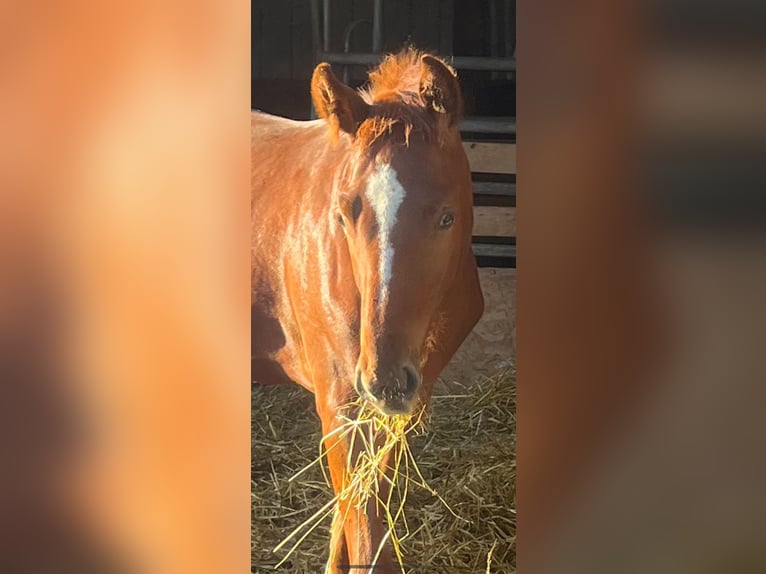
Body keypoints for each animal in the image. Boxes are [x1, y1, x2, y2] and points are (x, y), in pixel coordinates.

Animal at [254, 50, 486, 574]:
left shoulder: (404, 404)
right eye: (343, 215)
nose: (386, 379)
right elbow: (360, 519)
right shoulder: (341, 403)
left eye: (447, 217)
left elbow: (364, 501)